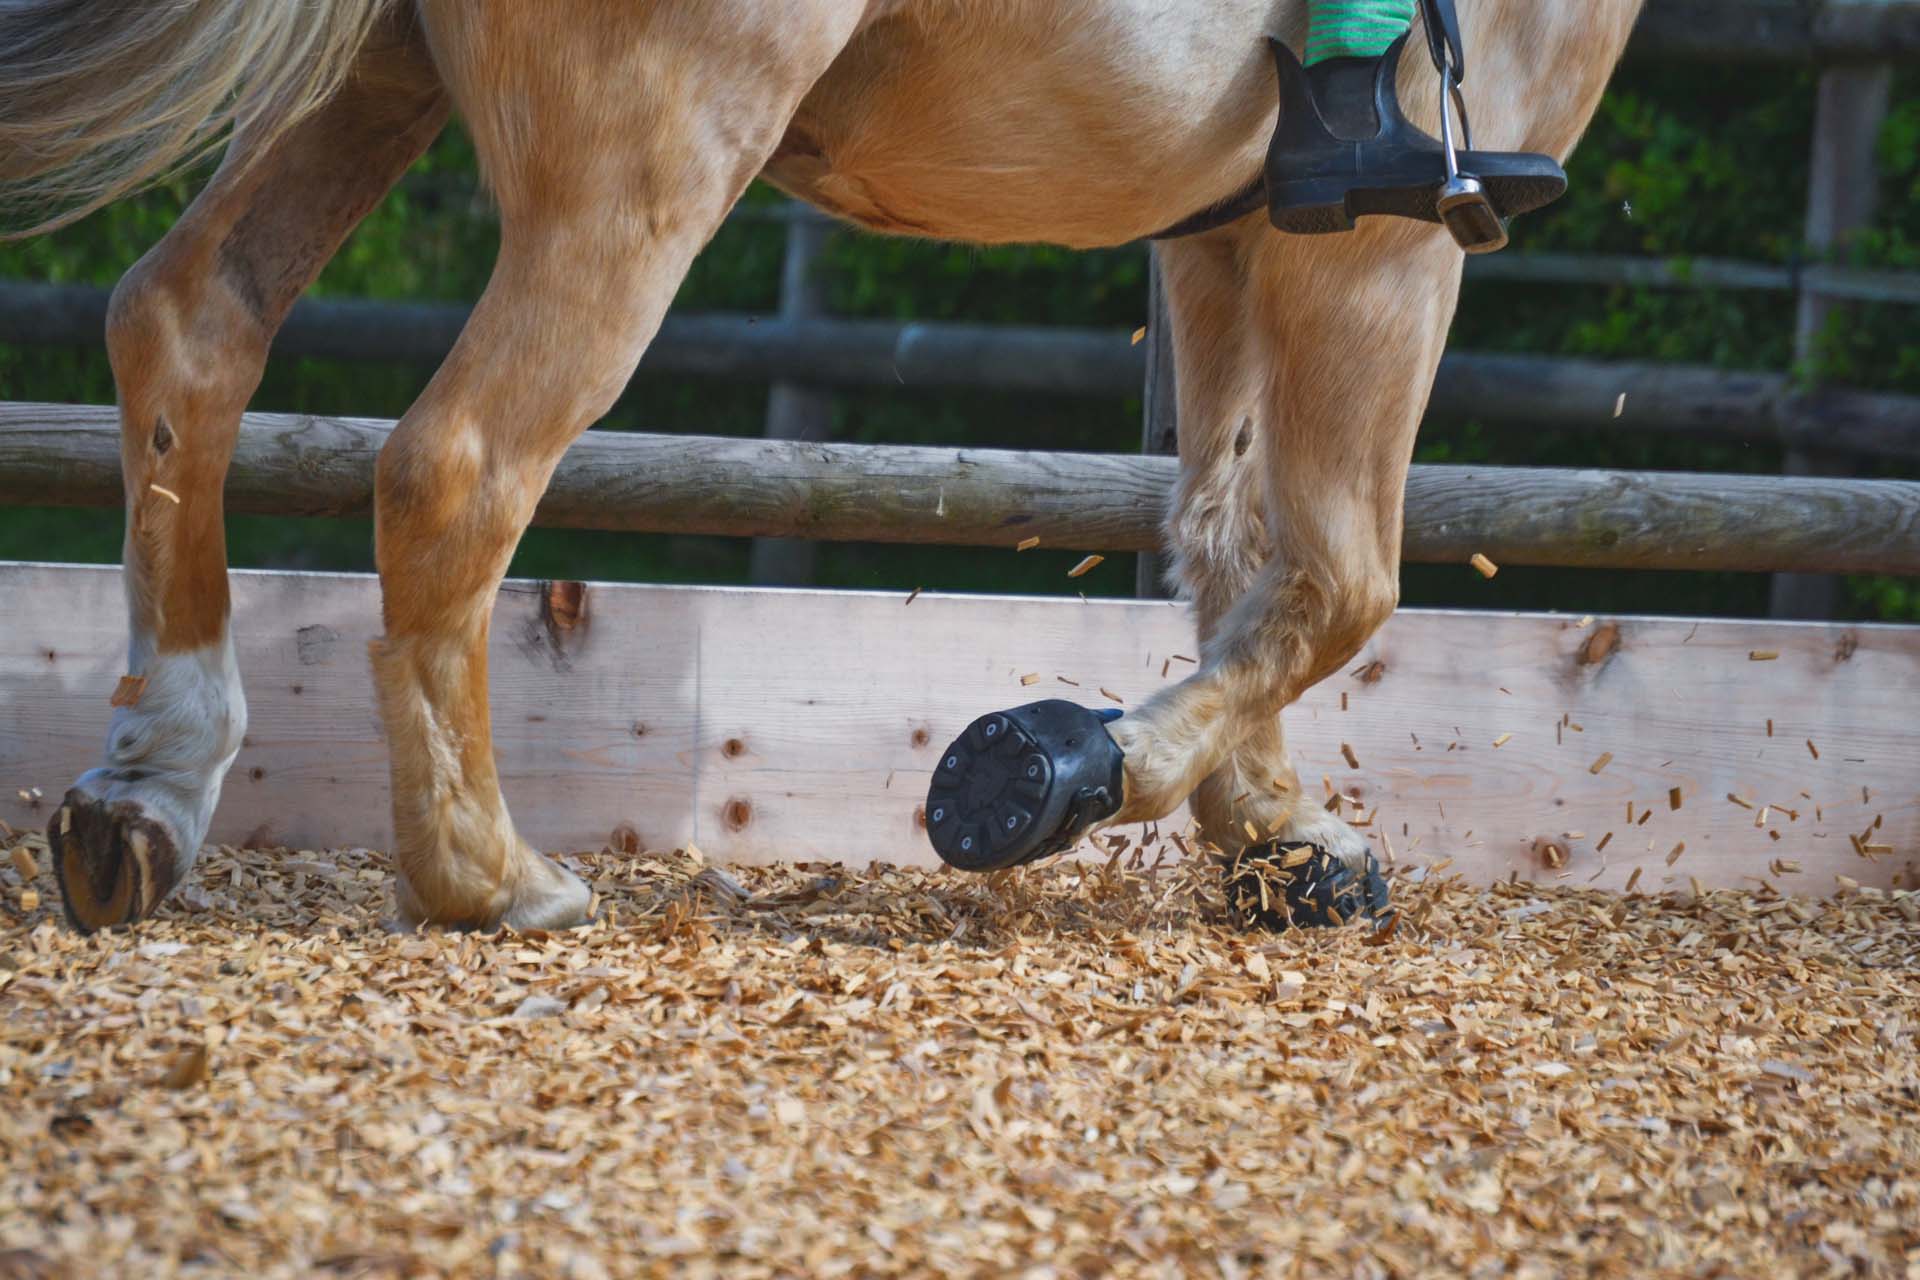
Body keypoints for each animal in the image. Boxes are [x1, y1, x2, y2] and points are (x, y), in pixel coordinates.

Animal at [0, 0, 1644, 932]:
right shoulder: (1389, 237)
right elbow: (1345, 575)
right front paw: (1065, 770)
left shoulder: (1237, 219)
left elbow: (1233, 531)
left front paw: (1277, 838)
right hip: (646, 156)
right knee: (460, 465)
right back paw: (487, 875)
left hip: (369, 79)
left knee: (189, 327)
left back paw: (146, 793)